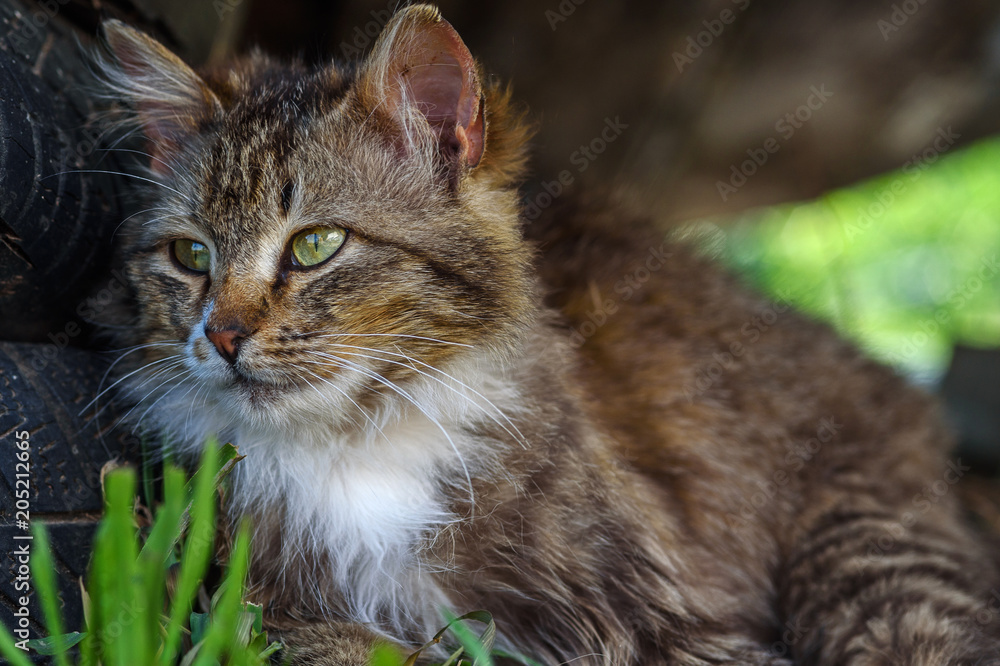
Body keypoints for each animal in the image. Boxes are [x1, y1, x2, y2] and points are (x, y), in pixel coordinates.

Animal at [97, 5, 1000, 664]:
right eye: (190, 256)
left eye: (316, 245)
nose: (222, 336)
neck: (356, 446)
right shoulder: (262, 605)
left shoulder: (675, 626)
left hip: (867, 565)